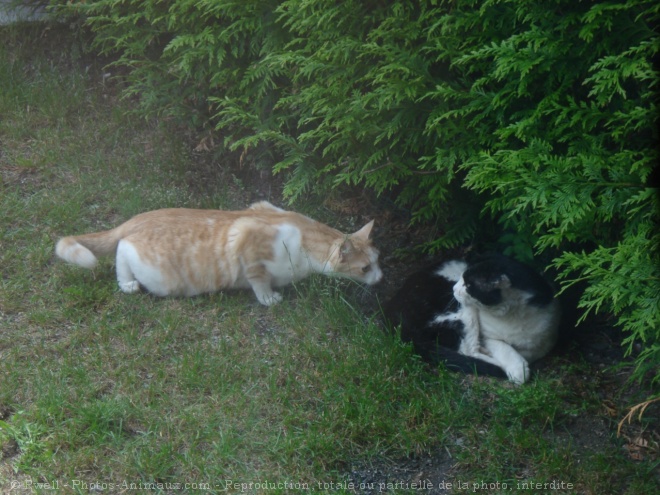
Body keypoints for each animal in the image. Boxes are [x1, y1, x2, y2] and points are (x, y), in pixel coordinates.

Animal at [58, 202, 386, 306]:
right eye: (365, 269)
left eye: (378, 261)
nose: (382, 278)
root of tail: (137, 219)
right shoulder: (247, 241)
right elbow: (258, 279)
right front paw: (269, 298)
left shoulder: (262, 205)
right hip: (156, 274)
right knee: (121, 249)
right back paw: (126, 283)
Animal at [384, 254, 560, 386]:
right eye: (461, 280)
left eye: (468, 285)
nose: (454, 288)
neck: (513, 316)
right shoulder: (487, 337)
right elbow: (505, 349)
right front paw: (518, 368)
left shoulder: (546, 335)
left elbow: (532, 348)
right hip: (463, 312)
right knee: (468, 351)